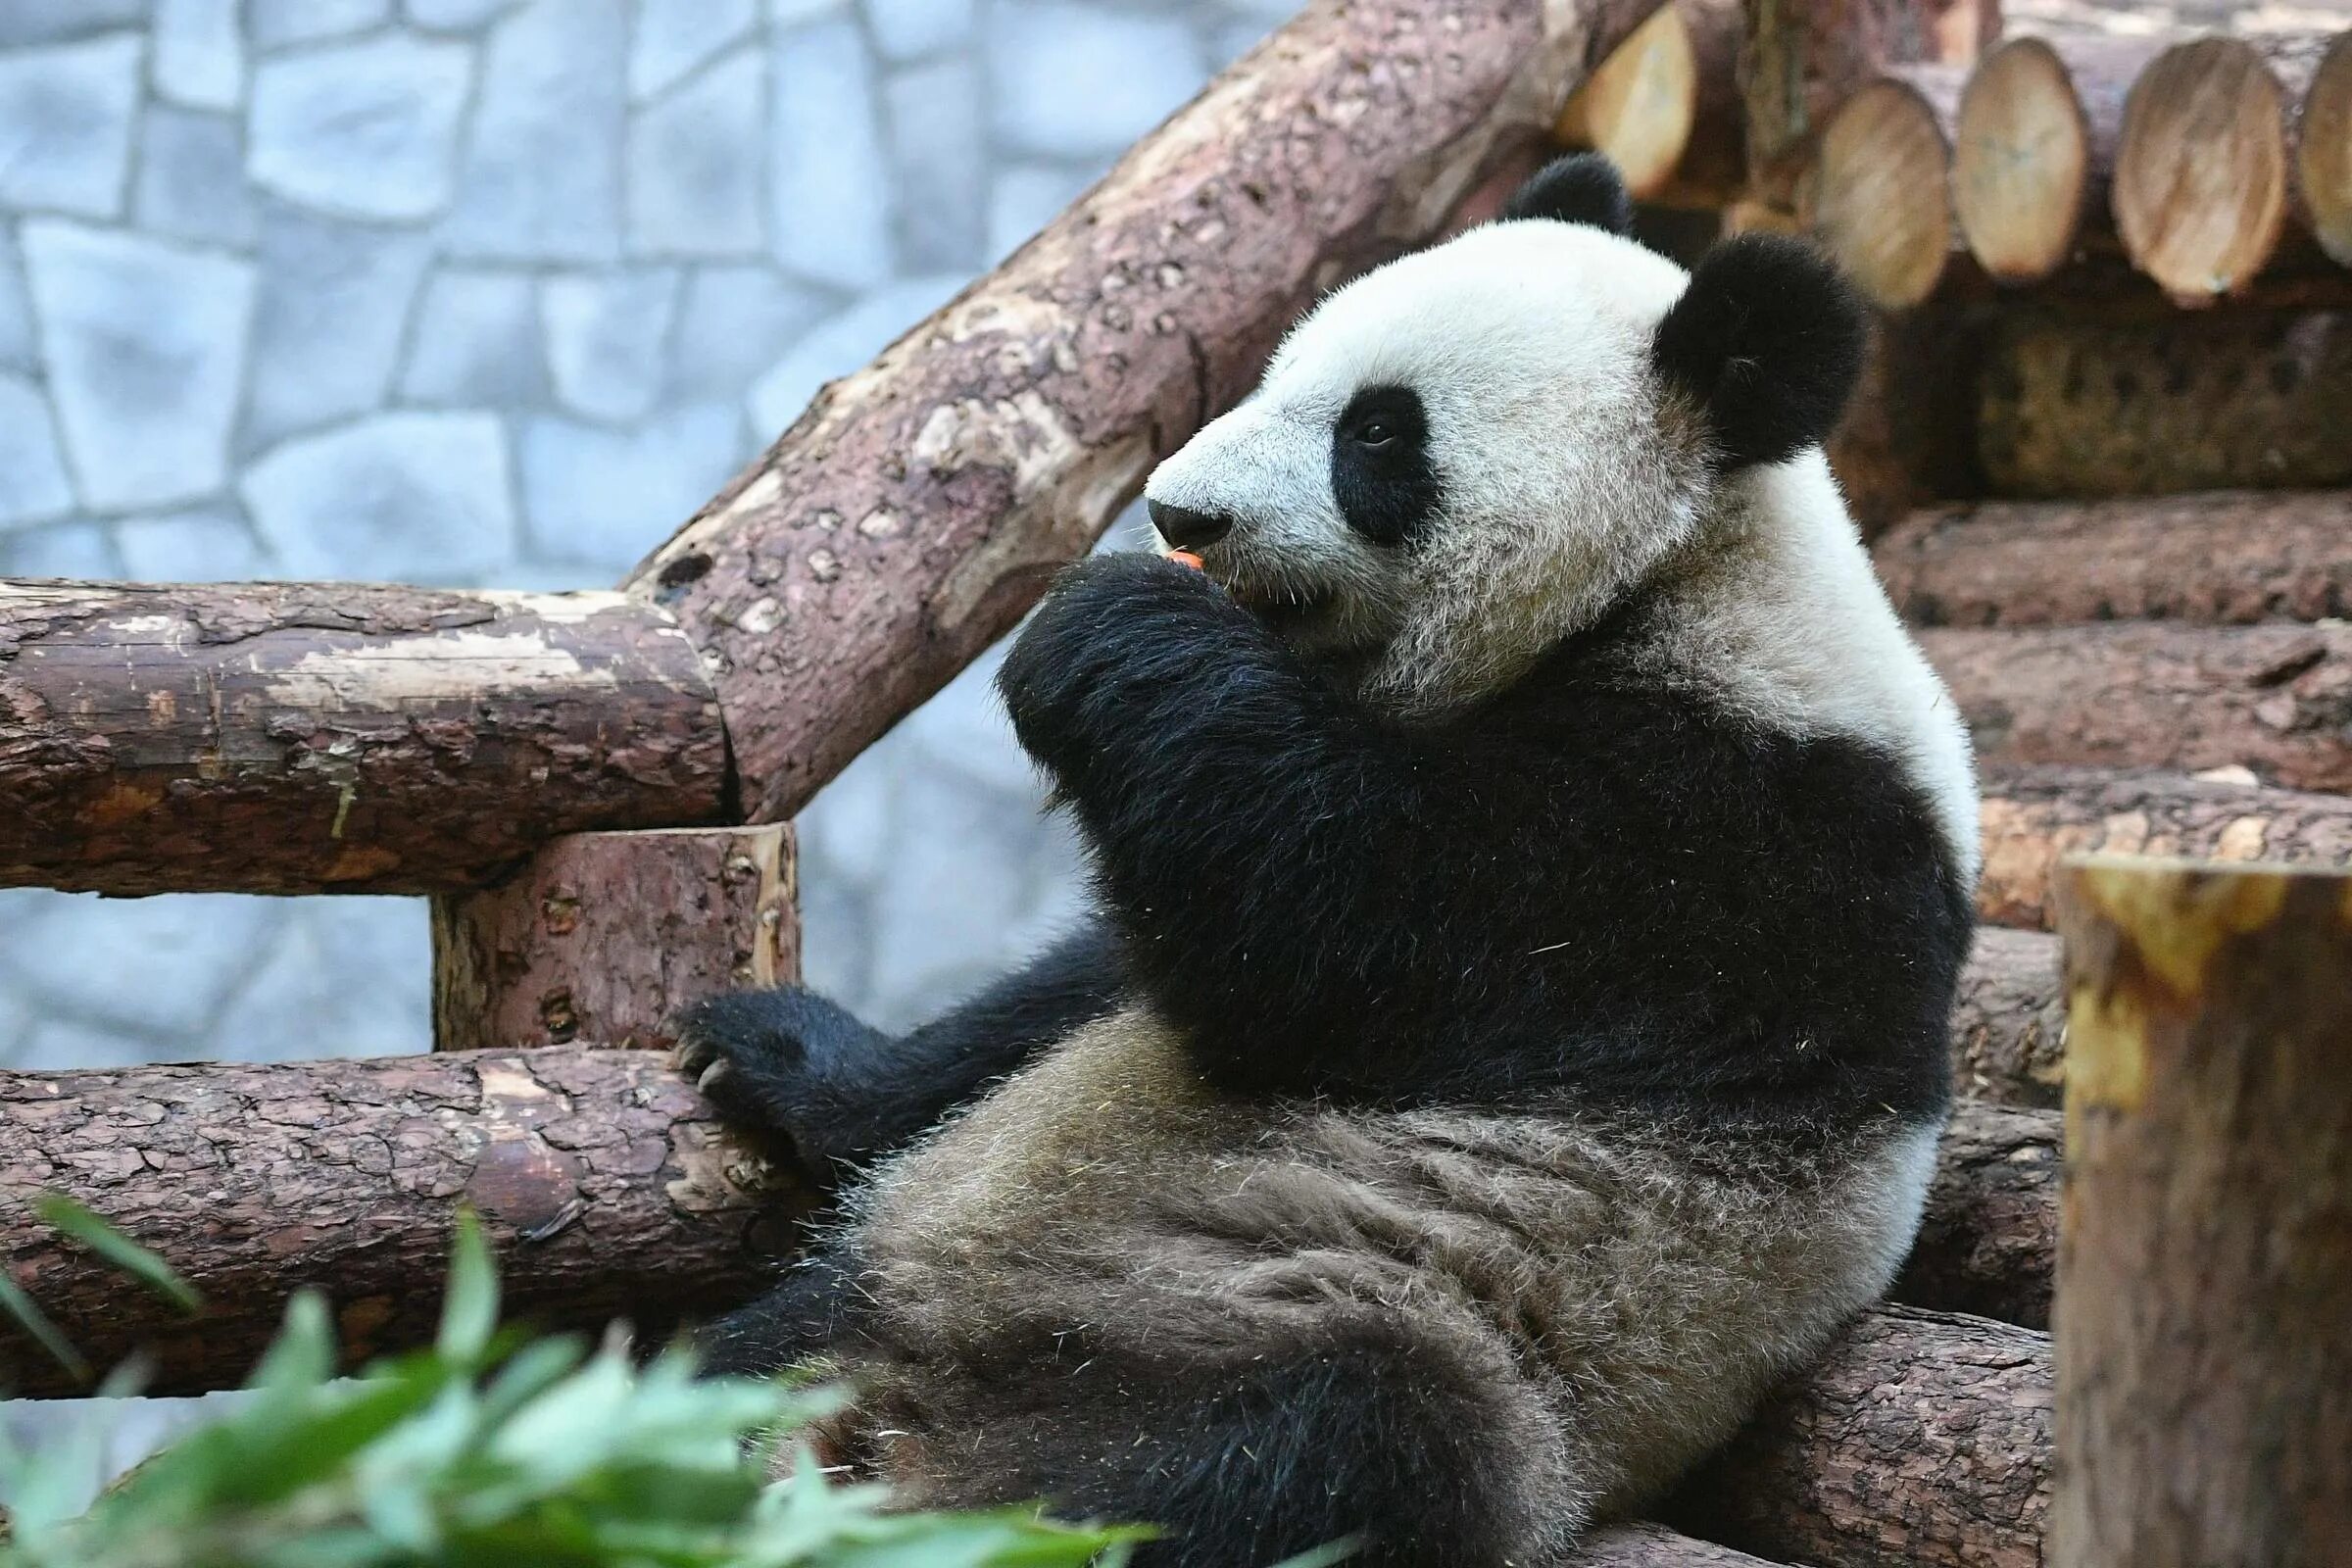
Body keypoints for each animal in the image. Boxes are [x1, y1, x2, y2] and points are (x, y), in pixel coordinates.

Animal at [672, 156, 1976, 1568]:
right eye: (1279, 368)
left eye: (1379, 435)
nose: (1178, 510)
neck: (1683, 575)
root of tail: (898, 1411)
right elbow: (1085, 988)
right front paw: (789, 1055)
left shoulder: (1741, 848)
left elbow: (1341, 936)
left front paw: (1106, 619)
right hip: (899, 1261)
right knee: (730, 1350)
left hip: (1373, 1326)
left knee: (1291, 1448)